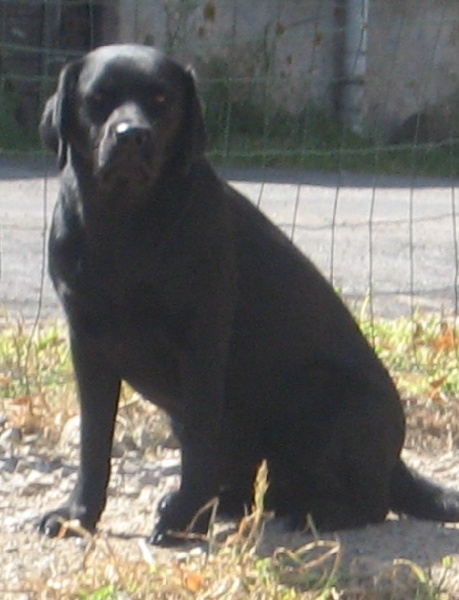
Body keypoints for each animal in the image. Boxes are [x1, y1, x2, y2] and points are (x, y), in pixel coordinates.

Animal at [38, 44, 459, 545]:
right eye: (97, 98)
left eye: (161, 100)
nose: (133, 135)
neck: (124, 221)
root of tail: (395, 463)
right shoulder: (87, 343)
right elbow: (93, 442)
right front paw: (77, 515)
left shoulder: (200, 343)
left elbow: (199, 442)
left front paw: (182, 521)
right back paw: (228, 506)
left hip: (318, 392)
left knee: (370, 505)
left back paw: (312, 514)